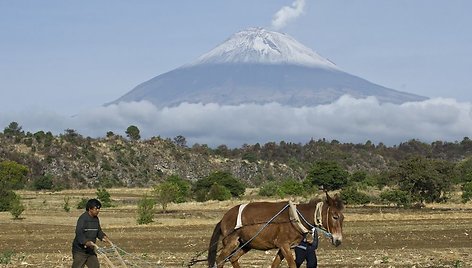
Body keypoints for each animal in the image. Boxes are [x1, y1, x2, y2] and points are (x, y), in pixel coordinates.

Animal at [206, 192, 342, 266]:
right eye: (335, 216)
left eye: (343, 217)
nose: (338, 240)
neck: (295, 218)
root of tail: (224, 218)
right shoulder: (284, 245)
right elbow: (292, 265)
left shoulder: (284, 248)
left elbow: (275, 265)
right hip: (231, 242)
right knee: (220, 260)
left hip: (246, 244)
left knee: (233, 258)